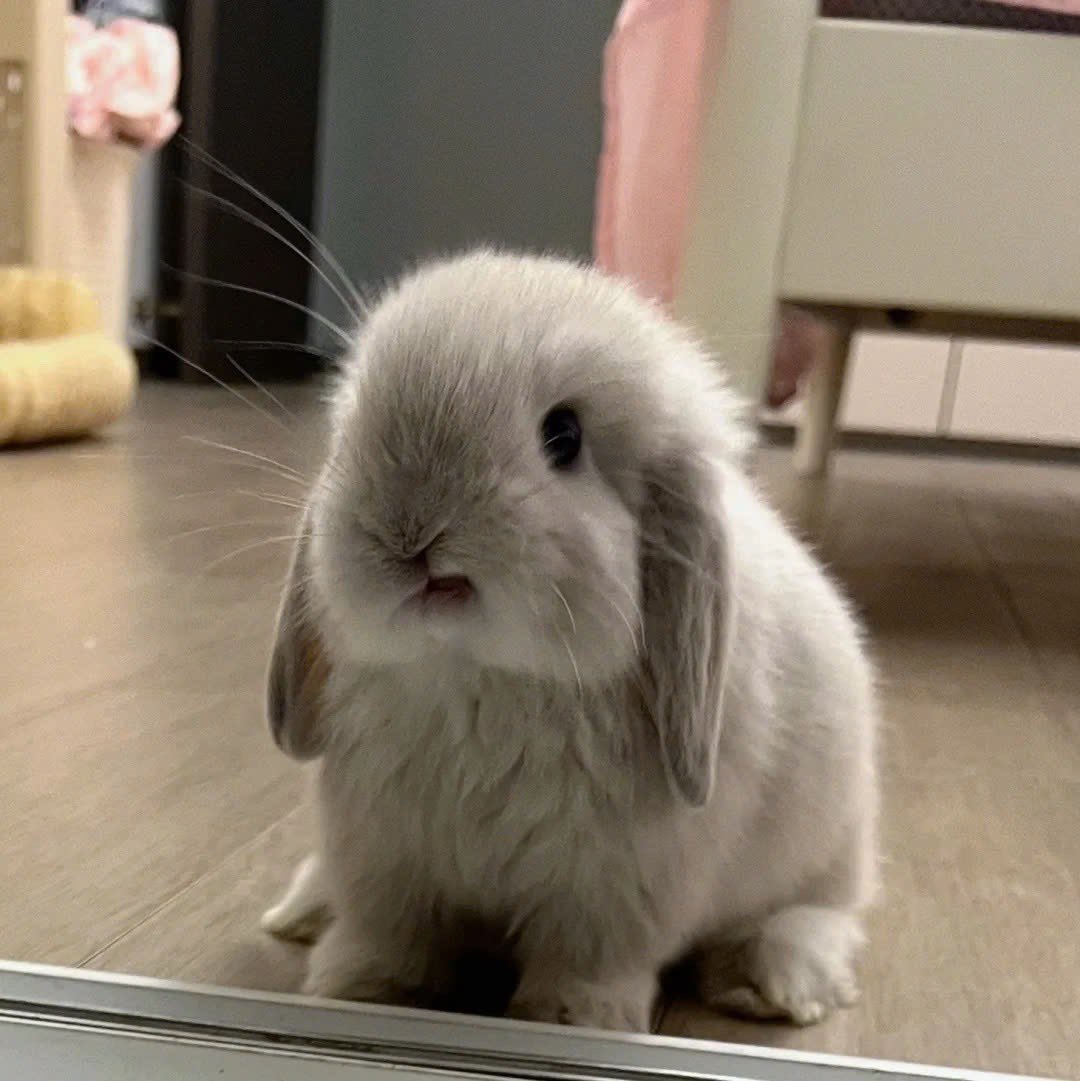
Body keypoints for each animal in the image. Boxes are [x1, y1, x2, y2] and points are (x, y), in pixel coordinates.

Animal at [260, 249, 879, 1032]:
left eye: (564, 437)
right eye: (352, 430)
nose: (407, 530)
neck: (478, 676)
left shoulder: (618, 885)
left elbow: (592, 958)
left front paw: (566, 1018)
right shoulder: (384, 856)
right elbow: (390, 934)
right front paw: (358, 987)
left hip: (828, 851)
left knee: (826, 914)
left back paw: (770, 981)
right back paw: (303, 910)